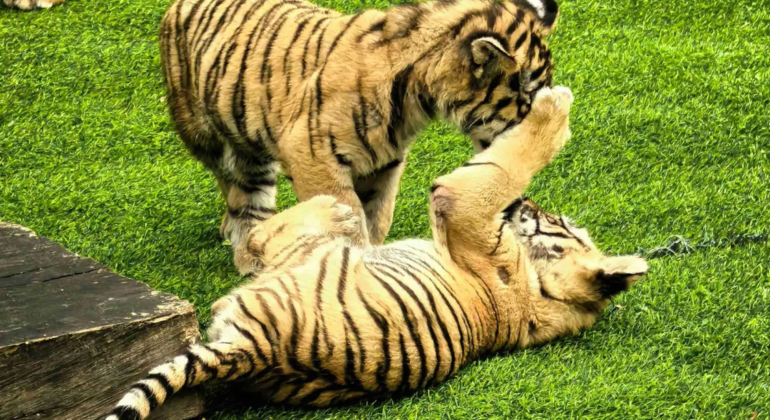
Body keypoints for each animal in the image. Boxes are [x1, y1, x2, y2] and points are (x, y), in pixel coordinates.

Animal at [103, 86, 650, 420]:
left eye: (559, 224)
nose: (529, 205)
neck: (542, 293)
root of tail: (254, 350)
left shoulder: (466, 203)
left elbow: (507, 162)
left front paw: (556, 106)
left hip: (311, 257)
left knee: (263, 237)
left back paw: (333, 210)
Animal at [160, 0, 561, 248]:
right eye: (527, 97)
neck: (417, 100)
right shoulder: (313, 156)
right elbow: (349, 220)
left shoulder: (384, 164)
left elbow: (376, 219)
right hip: (202, 132)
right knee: (230, 179)